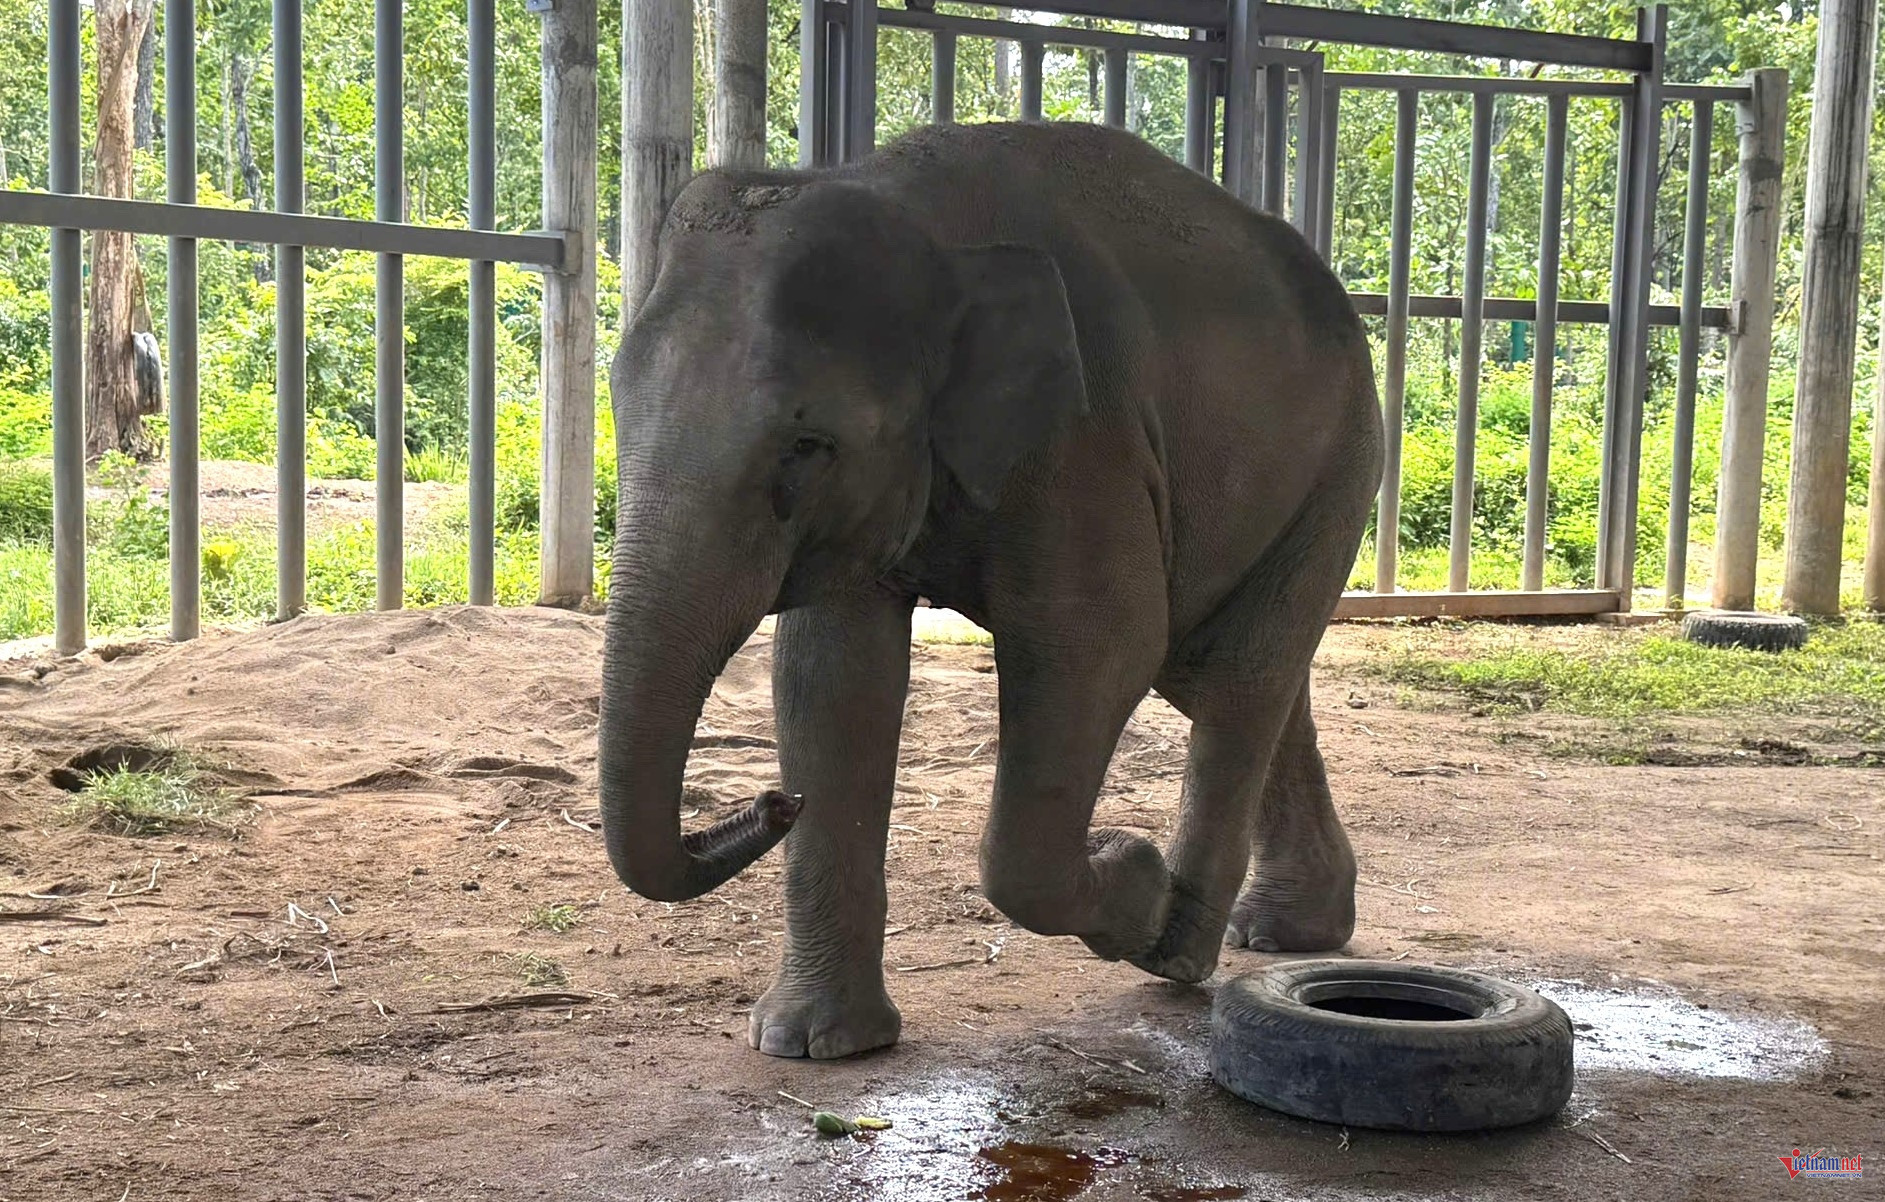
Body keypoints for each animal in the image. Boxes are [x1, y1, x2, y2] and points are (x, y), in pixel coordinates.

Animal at [600, 120, 1384, 1060]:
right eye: (615, 405)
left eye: (806, 445)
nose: (773, 800)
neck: (909, 209)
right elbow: (831, 679)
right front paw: (813, 1045)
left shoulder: (1084, 430)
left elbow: (1098, 646)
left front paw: (1134, 875)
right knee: (1223, 670)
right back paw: (1281, 933)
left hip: (1341, 460)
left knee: (1235, 675)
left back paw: (1178, 949)